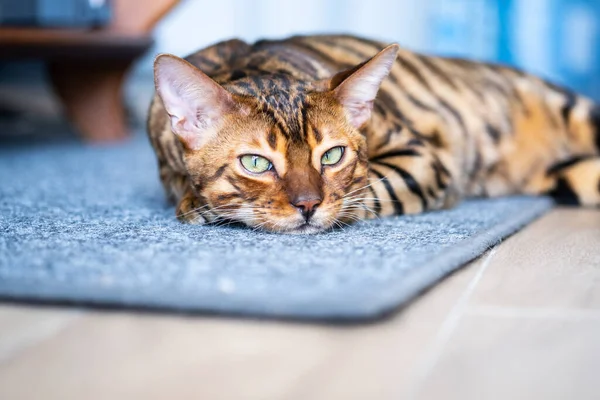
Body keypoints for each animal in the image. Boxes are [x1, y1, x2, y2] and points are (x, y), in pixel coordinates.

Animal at [146, 36, 600, 234]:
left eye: (332, 155)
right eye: (255, 163)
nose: (307, 205)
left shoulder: (420, 157)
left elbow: (368, 191)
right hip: (566, 175)